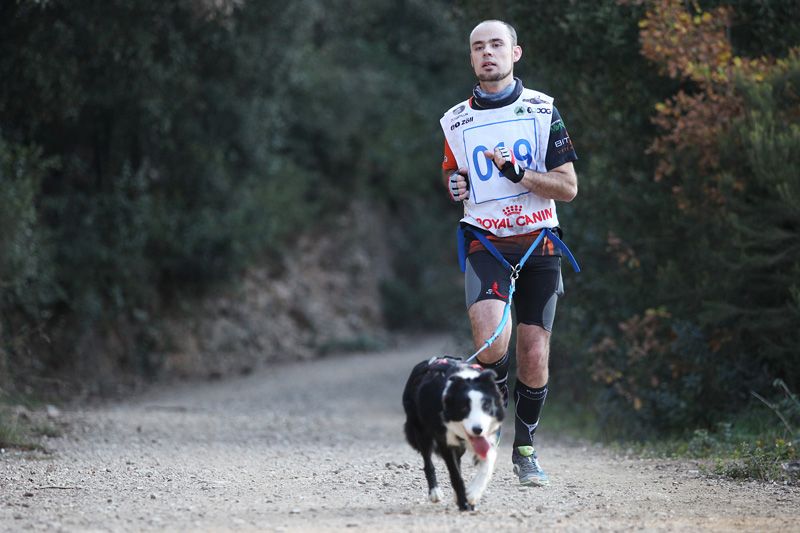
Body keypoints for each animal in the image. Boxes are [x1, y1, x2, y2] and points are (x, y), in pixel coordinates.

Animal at [402, 356, 505, 510]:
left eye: (486, 406)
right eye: (463, 408)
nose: (477, 429)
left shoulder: (487, 438)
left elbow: (488, 460)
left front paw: (472, 494)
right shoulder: (444, 440)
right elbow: (455, 475)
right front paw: (464, 502)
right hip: (421, 431)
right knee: (428, 462)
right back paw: (435, 492)